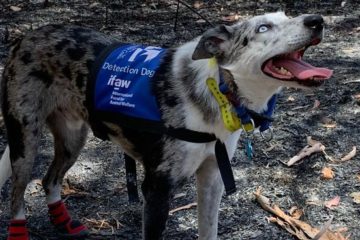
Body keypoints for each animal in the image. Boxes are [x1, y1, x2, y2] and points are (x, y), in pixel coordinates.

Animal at [0, 11, 332, 240]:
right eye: (263, 28)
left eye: (287, 16)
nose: (317, 21)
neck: (219, 89)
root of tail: (26, 36)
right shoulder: (157, 189)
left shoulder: (212, 177)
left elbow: (208, 231)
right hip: (25, 141)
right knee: (17, 196)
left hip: (72, 139)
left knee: (49, 180)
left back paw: (64, 222)